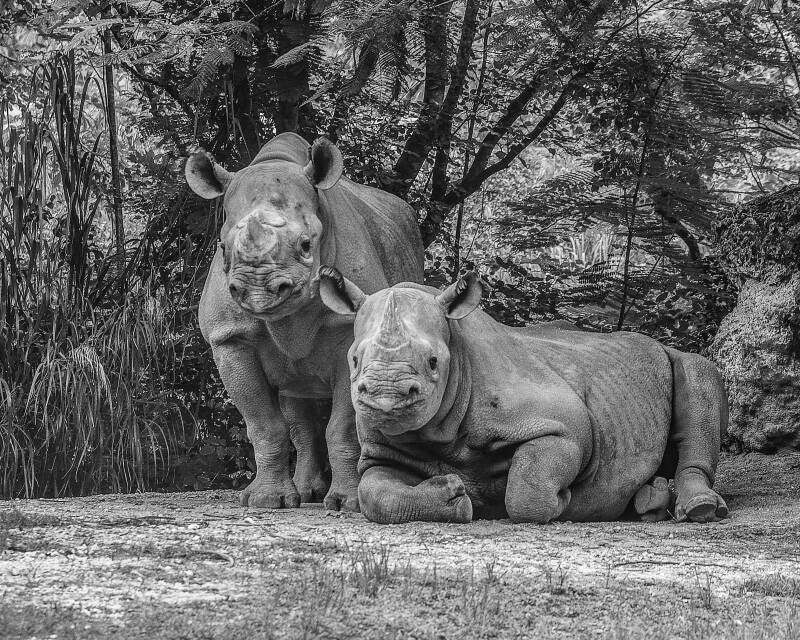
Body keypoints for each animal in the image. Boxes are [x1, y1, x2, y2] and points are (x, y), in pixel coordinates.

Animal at [185, 133, 423, 510]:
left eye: (307, 244)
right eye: (222, 248)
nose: (257, 291)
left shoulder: (350, 335)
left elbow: (342, 426)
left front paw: (348, 504)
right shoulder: (229, 340)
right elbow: (264, 424)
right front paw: (267, 501)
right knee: (297, 405)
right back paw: (301, 493)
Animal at [318, 269, 730, 524]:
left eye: (433, 362)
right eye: (353, 360)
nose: (385, 398)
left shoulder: (565, 425)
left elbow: (527, 489)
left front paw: (567, 503)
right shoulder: (382, 451)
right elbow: (375, 493)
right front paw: (454, 494)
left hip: (673, 357)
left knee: (700, 375)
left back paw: (699, 510)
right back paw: (650, 502)